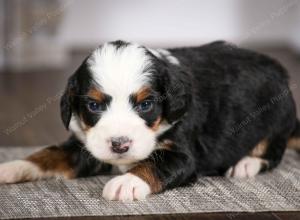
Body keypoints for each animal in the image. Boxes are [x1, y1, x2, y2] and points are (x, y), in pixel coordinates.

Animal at [0, 40, 300, 201]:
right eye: (94, 105)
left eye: (145, 105)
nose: (119, 144)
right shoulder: (85, 146)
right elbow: (48, 154)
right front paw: (13, 167)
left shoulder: (183, 155)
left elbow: (155, 163)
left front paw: (127, 182)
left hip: (276, 117)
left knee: (273, 152)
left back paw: (246, 164)